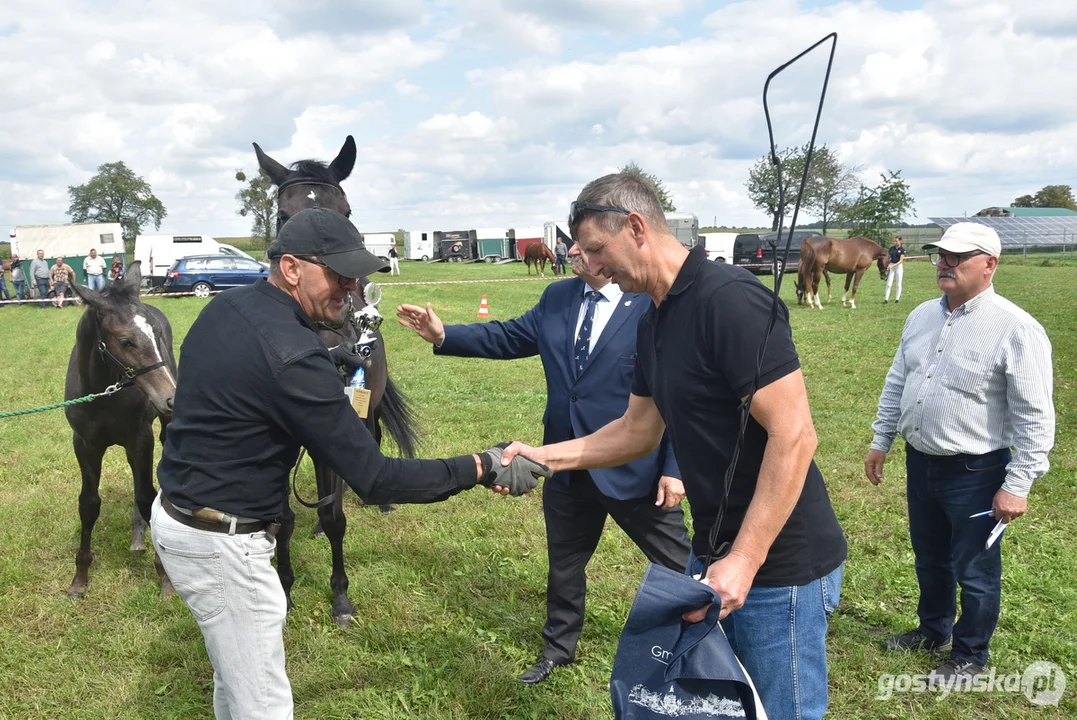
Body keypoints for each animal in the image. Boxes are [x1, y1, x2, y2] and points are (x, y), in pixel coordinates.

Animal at [64, 261, 177, 598]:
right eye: (125, 342)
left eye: (156, 334)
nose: (171, 397)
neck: (104, 393)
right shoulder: (85, 444)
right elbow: (88, 504)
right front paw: (80, 578)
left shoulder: (141, 439)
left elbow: (146, 497)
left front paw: (165, 576)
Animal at [253, 136, 420, 628]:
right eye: (282, 215)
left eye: (345, 212)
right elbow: (283, 519)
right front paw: (285, 591)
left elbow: (336, 519)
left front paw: (341, 598)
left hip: (370, 408)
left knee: (373, 441)